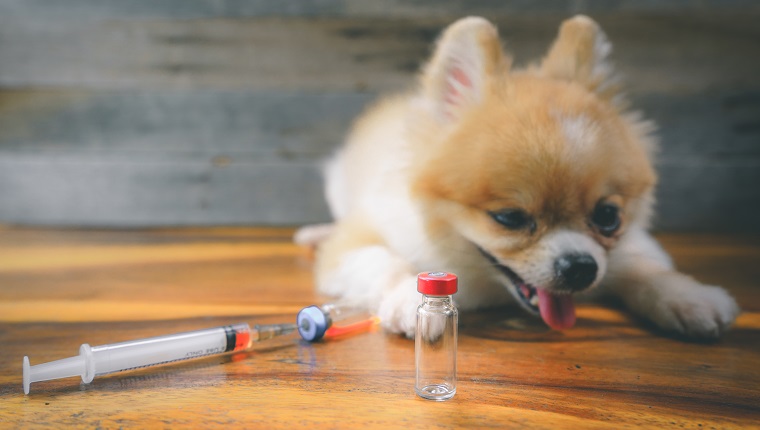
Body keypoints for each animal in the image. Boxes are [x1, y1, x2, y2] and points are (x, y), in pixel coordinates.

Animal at [296, 15, 736, 340]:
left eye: (608, 216)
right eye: (509, 218)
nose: (580, 267)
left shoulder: (630, 246)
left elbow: (645, 268)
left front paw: (689, 297)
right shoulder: (356, 244)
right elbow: (383, 260)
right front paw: (408, 295)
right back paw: (316, 233)